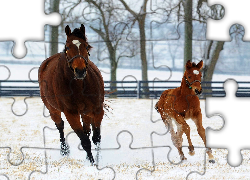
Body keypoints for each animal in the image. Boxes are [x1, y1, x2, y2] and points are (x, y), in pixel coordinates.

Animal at [39, 23, 103, 163]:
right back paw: (64, 150)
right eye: (68, 46)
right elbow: (85, 142)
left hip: (85, 112)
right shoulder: (71, 114)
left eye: (86, 46)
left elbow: (96, 138)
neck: (79, 86)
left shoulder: (97, 110)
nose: (80, 71)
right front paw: (92, 163)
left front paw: (97, 159)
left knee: (87, 130)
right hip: (53, 109)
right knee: (60, 126)